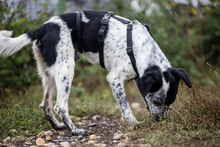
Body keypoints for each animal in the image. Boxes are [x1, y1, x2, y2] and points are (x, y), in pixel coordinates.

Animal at [0, 10, 191, 136]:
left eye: (169, 103)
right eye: (157, 100)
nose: (160, 121)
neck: (141, 51)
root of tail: (44, 27)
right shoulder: (115, 79)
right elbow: (126, 107)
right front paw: (134, 124)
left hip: (50, 74)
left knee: (45, 105)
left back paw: (58, 126)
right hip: (66, 69)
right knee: (60, 106)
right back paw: (75, 130)